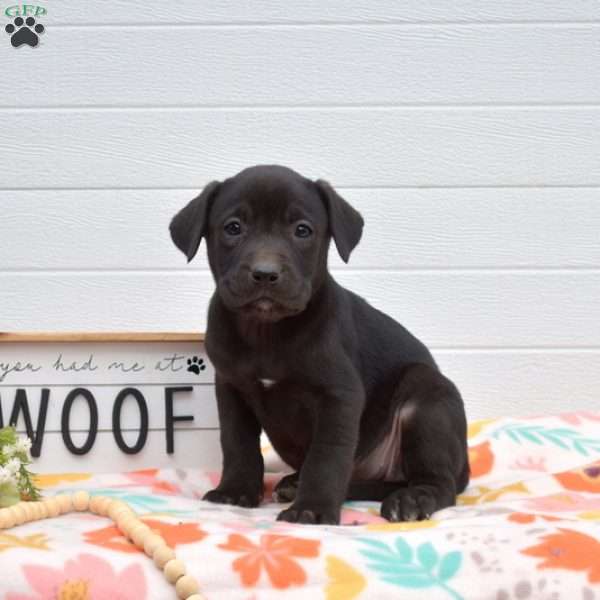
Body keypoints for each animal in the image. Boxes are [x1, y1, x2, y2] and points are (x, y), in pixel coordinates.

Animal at [169, 165, 468, 524]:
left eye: (302, 230)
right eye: (233, 227)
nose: (265, 273)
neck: (266, 332)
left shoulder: (339, 397)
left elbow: (326, 457)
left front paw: (311, 509)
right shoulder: (231, 388)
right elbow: (237, 443)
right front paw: (235, 490)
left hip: (425, 401)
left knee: (439, 481)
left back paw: (411, 499)